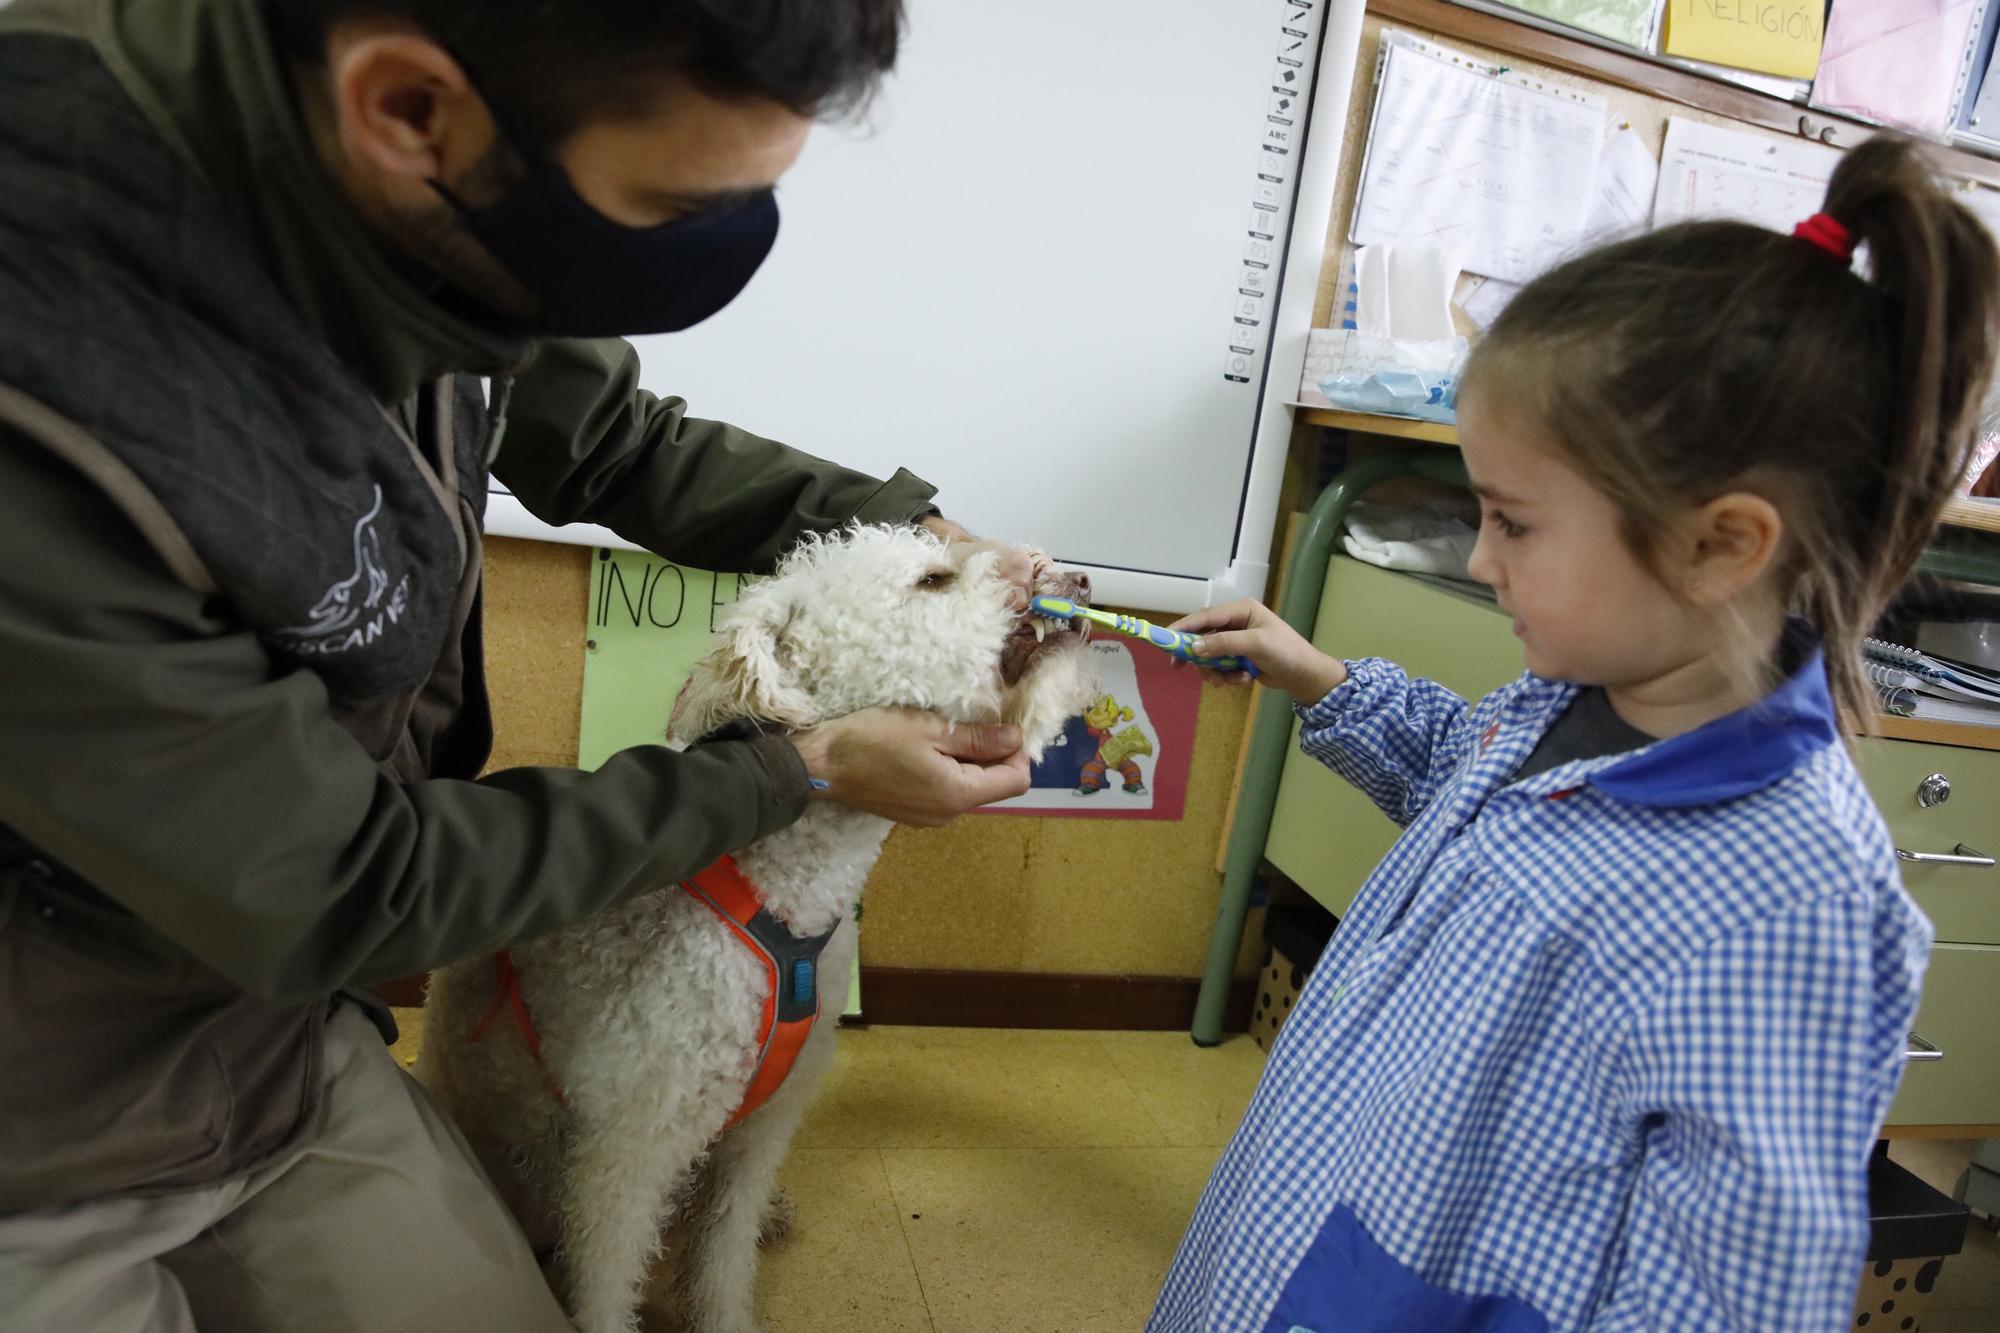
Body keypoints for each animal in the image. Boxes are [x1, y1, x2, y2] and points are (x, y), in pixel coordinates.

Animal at [412, 528, 1088, 1328]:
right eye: (934, 579)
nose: (1075, 578)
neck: (782, 902)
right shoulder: (627, 1150)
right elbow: (607, 1286)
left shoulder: (765, 1128)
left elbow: (724, 1252)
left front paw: (724, 1303)